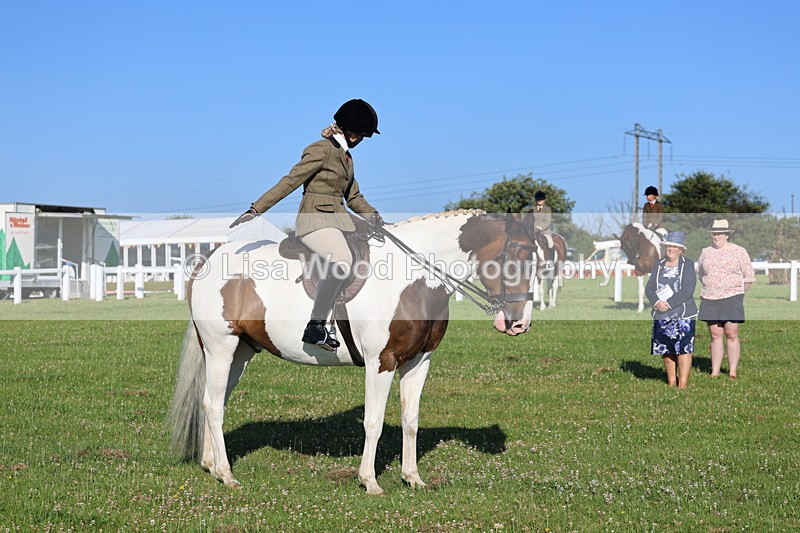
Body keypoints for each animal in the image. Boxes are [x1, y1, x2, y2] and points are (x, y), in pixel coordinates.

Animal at [168, 210, 539, 494]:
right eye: (510, 260)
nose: (519, 323)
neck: (413, 278)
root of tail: (207, 261)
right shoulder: (381, 362)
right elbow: (373, 422)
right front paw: (370, 481)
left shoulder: (419, 361)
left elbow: (411, 420)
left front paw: (413, 478)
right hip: (221, 348)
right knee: (213, 406)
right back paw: (226, 474)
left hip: (240, 353)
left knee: (211, 400)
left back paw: (210, 465)